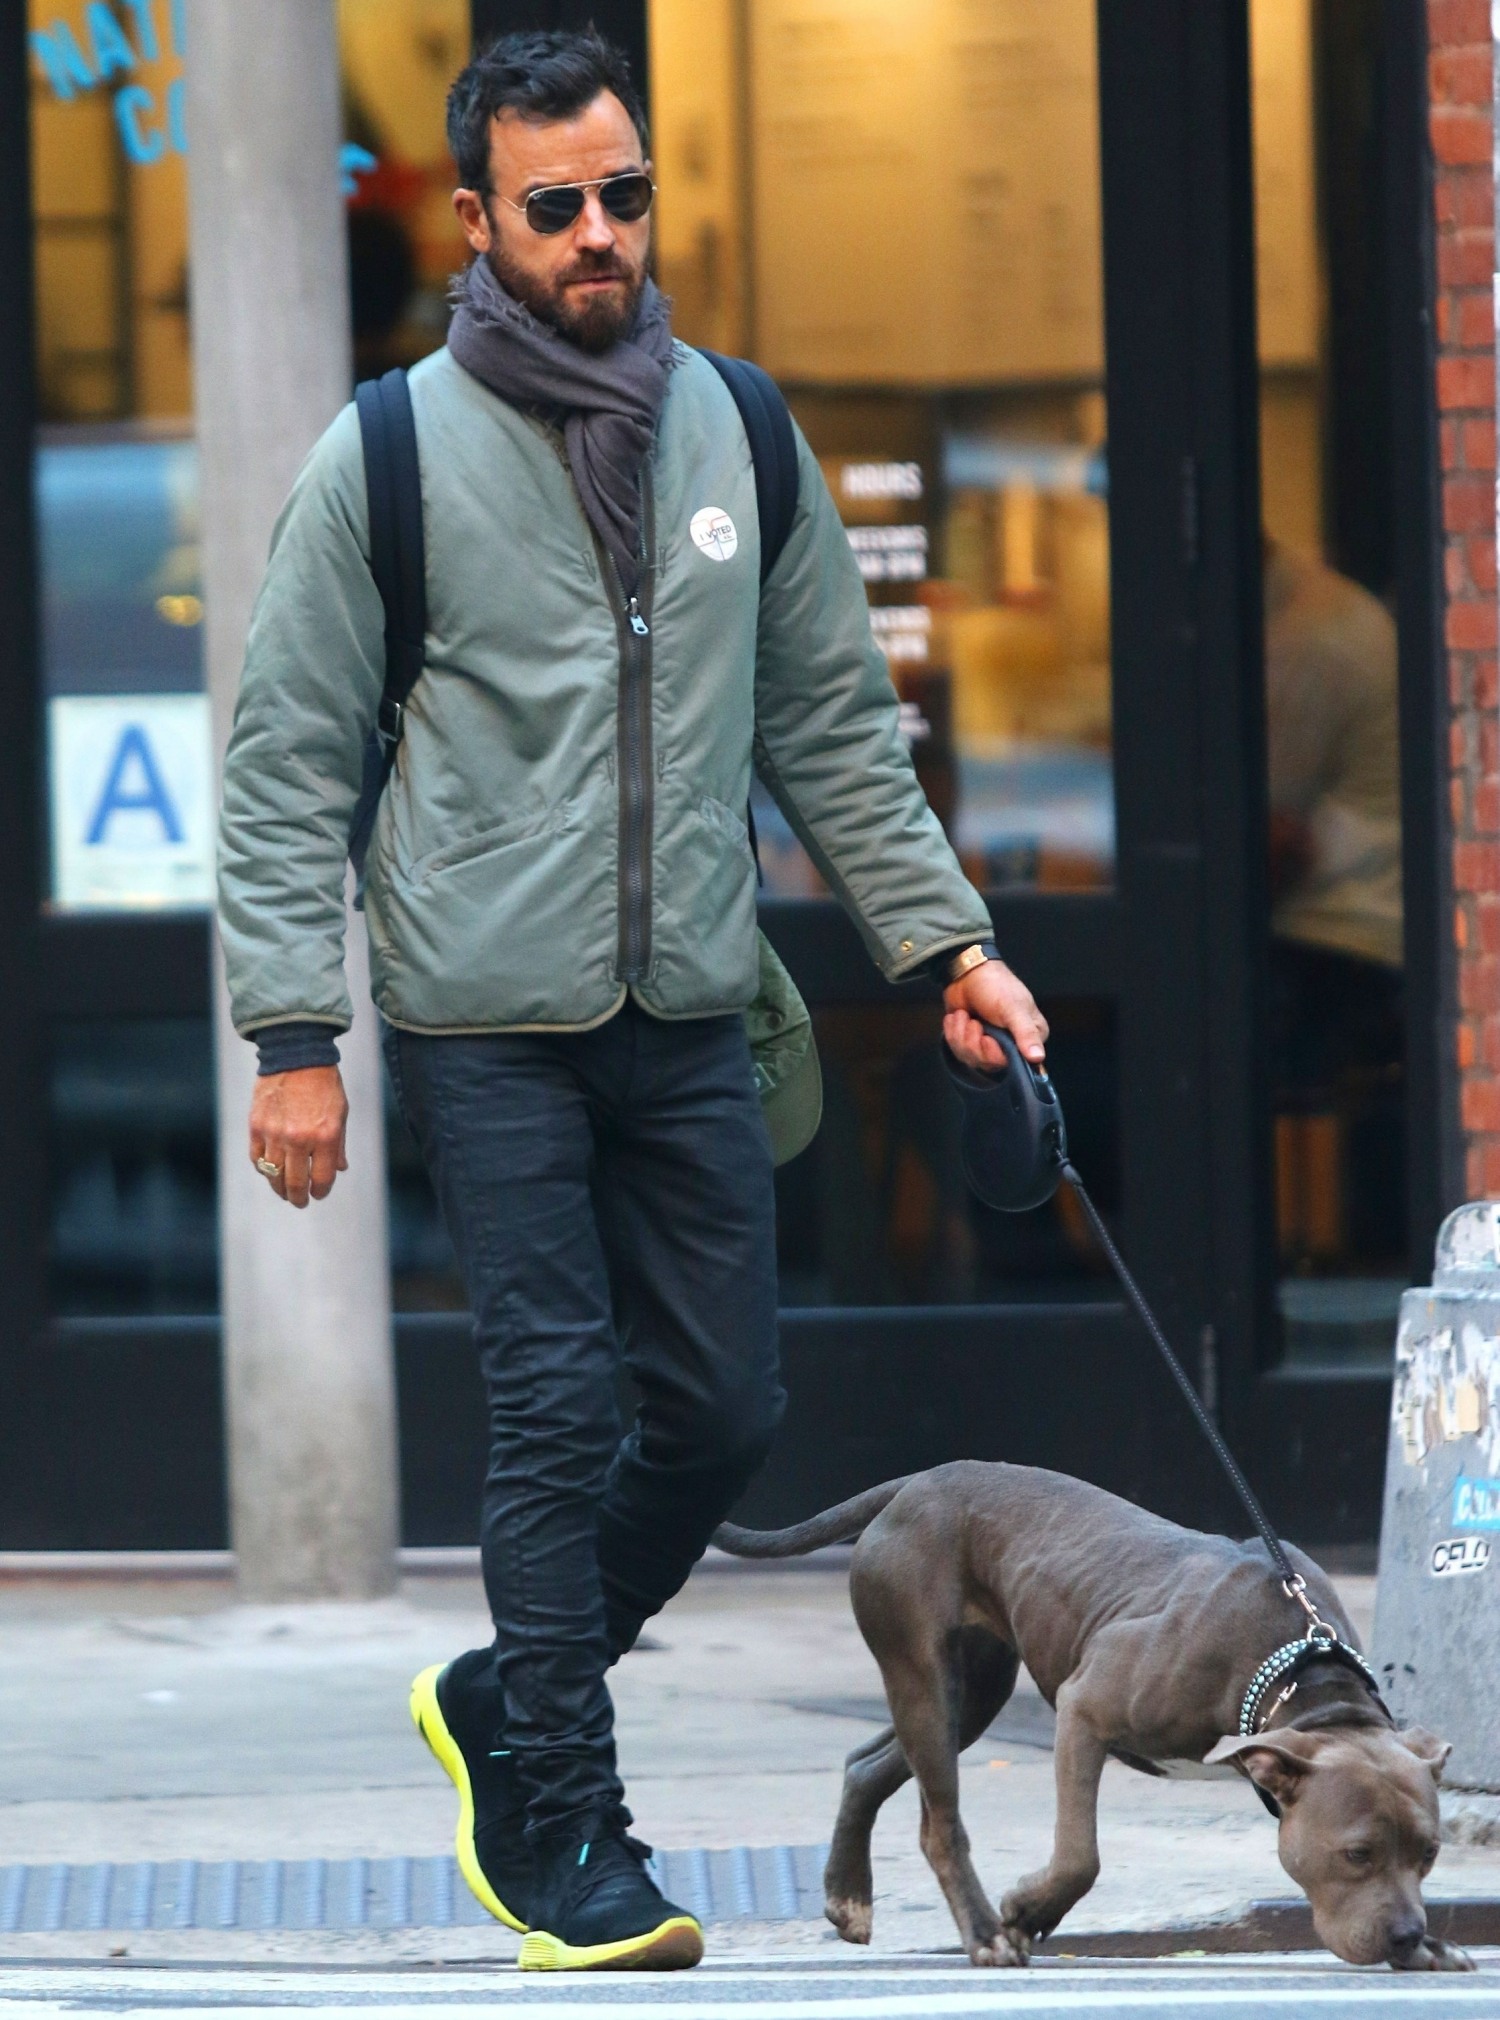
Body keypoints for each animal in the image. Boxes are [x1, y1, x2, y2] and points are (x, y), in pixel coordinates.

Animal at [714, 1470, 1469, 1971]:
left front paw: (1436, 1945)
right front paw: (1027, 1913)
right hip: (922, 1676)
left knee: (866, 1766)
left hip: (969, 1695)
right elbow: (1081, 1855)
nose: (1406, 1937)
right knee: (939, 1824)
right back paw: (984, 1934)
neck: (1297, 1672)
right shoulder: (1084, 1709)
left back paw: (849, 1896)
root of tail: (917, 1483)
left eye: (1429, 1854)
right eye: (1356, 1854)